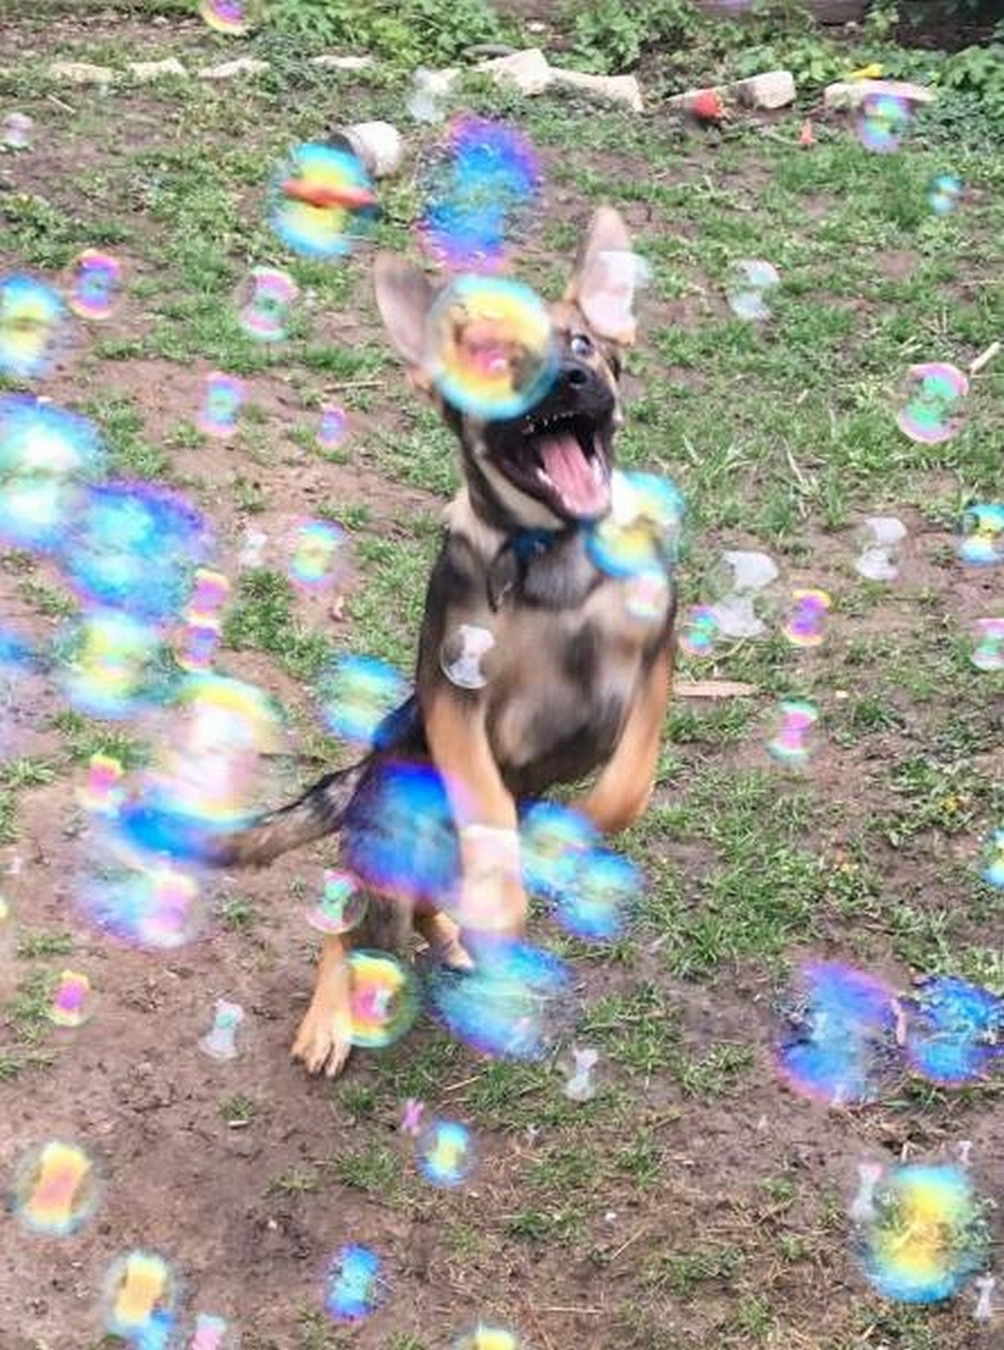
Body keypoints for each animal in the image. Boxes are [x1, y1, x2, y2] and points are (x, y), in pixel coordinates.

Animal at [206, 205, 677, 1078]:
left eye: (584, 343)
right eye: (492, 358)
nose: (569, 380)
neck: (557, 559)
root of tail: (361, 774)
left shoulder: (656, 655)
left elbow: (631, 779)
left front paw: (587, 826)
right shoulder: (456, 689)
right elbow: (485, 804)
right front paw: (504, 895)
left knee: (420, 910)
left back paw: (456, 936)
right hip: (388, 860)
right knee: (348, 931)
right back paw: (333, 1017)